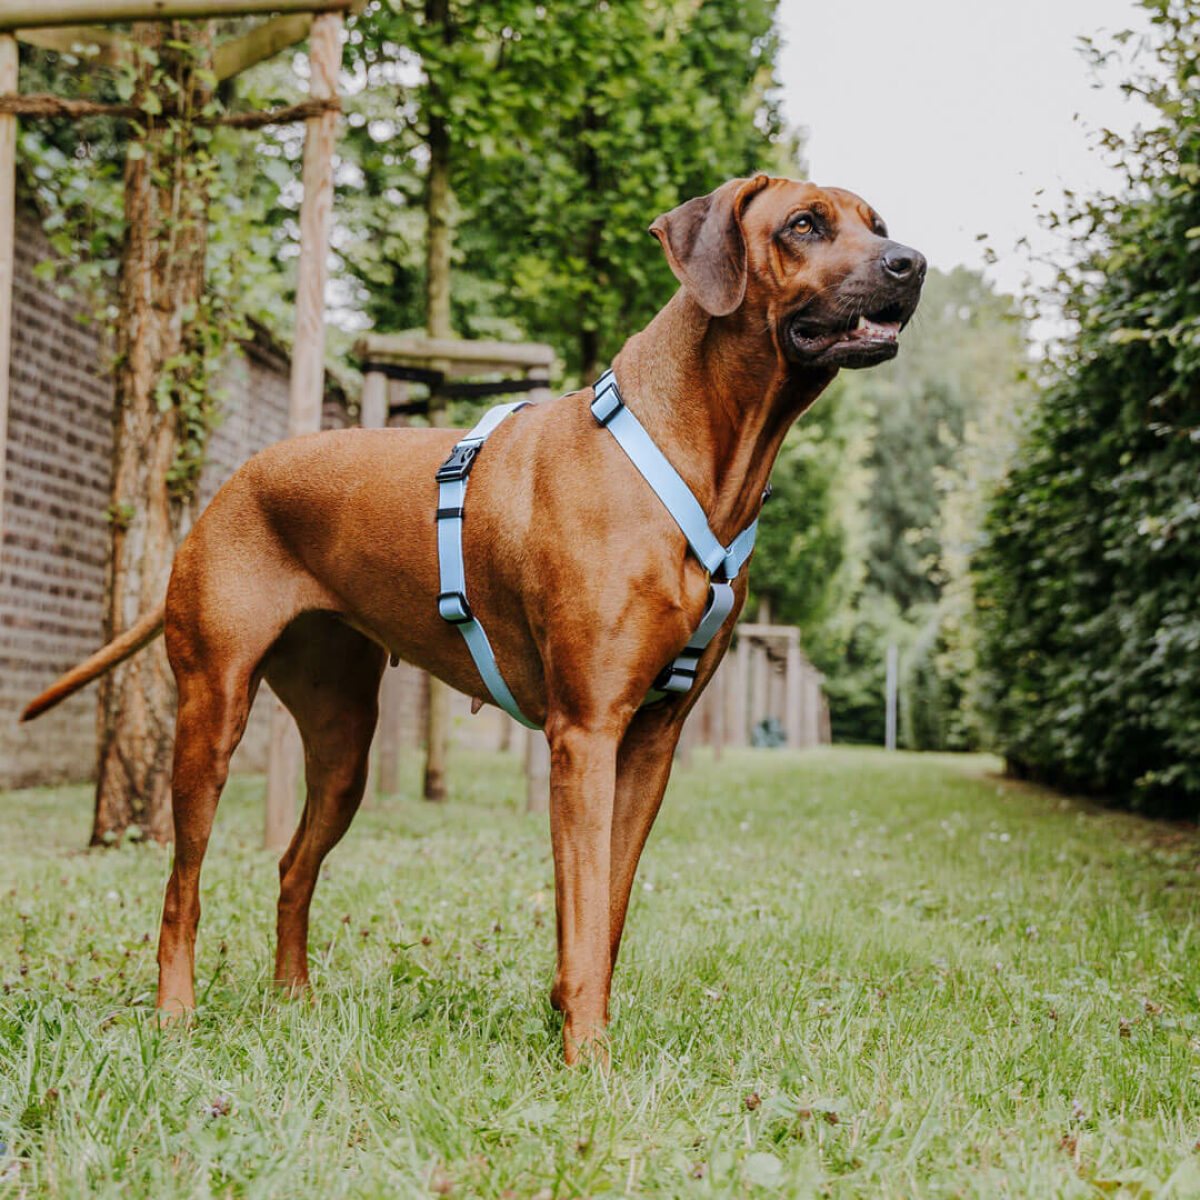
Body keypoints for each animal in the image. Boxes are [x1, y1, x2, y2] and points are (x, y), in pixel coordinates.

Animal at [25, 175, 926, 1060]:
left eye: (877, 222)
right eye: (804, 225)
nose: (911, 262)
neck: (685, 452)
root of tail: (231, 485)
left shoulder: (651, 745)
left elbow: (604, 915)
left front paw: (575, 1021)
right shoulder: (585, 733)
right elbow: (585, 909)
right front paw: (588, 1058)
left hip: (343, 745)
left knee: (291, 866)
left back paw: (293, 1001)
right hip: (211, 713)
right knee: (182, 884)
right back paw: (175, 1013)